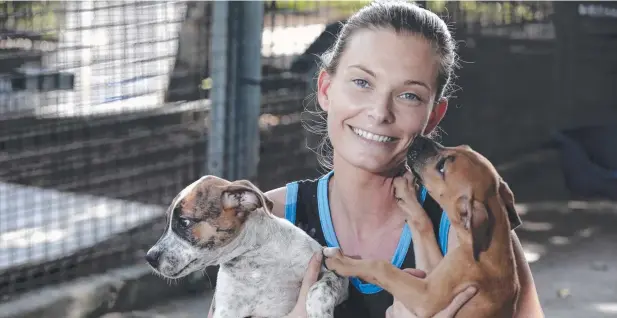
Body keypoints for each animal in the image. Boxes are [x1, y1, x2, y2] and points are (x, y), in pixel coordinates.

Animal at [145, 175, 346, 318]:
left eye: (184, 222)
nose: (149, 257)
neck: (255, 261)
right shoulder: (226, 310)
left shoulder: (334, 273)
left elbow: (319, 289)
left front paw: (319, 313)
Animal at [322, 136, 520, 318]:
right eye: (462, 146)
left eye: (441, 167)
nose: (418, 138)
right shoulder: (429, 272)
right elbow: (423, 221)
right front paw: (407, 194)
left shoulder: (426, 296)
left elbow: (381, 267)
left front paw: (341, 261)